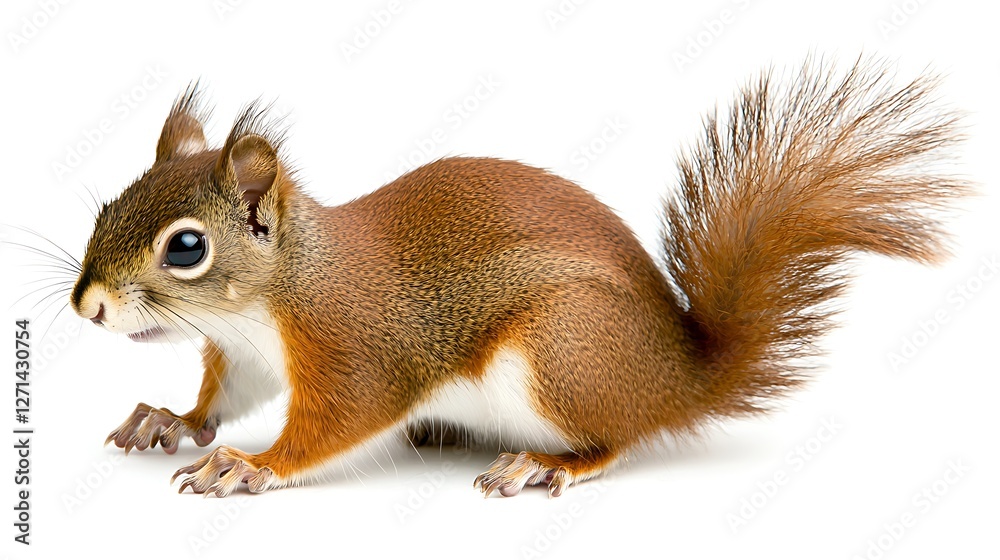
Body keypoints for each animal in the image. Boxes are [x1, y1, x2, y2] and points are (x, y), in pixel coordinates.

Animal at [70, 59, 966, 498]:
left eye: (186, 248)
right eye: (109, 203)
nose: (87, 306)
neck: (272, 296)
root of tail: (677, 377)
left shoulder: (355, 349)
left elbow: (337, 423)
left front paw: (250, 465)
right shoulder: (248, 356)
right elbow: (221, 399)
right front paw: (171, 419)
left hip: (562, 352)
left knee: (617, 439)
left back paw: (546, 464)